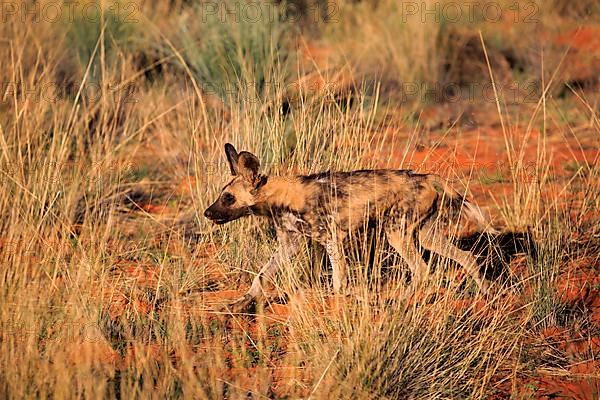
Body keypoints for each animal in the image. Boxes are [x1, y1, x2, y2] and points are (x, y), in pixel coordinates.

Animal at [204, 144, 494, 312]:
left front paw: (360, 299)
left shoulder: (331, 240)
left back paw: (397, 302)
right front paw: (241, 302)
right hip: (425, 235)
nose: (207, 213)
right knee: (466, 258)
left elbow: (339, 284)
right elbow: (261, 275)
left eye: (228, 198)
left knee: (422, 270)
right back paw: (486, 293)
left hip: (396, 234)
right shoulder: (292, 244)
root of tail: (423, 176)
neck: (280, 196)